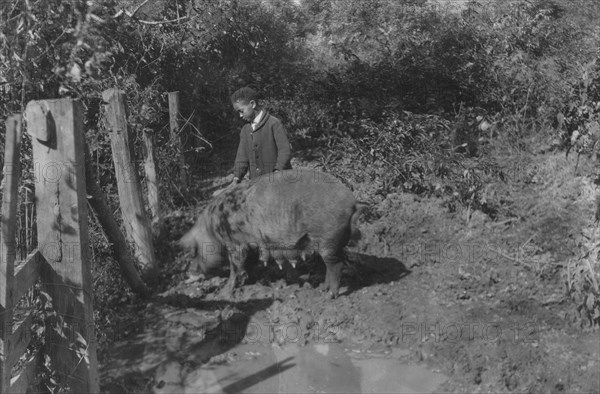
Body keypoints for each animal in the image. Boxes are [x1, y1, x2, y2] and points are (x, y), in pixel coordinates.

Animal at [178, 167, 366, 298]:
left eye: (193, 251)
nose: (188, 272)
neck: (213, 229)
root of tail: (353, 201)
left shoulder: (235, 243)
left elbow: (235, 267)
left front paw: (225, 293)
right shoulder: (250, 244)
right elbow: (248, 263)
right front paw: (251, 281)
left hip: (328, 239)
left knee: (336, 265)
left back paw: (329, 295)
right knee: (333, 265)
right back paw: (322, 289)